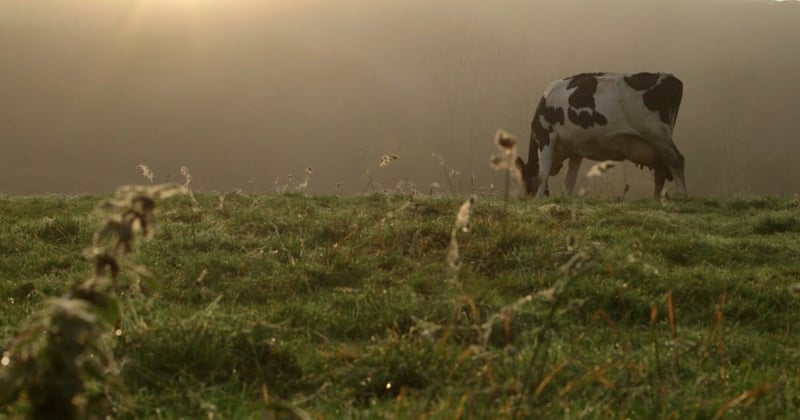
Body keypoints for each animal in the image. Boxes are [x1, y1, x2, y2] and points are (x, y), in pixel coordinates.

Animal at [516, 72, 684, 199]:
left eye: (525, 179)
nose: (526, 197)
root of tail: (670, 78)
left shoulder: (545, 136)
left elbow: (543, 174)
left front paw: (538, 199)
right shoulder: (575, 151)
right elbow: (569, 181)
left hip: (658, 134)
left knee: (676, 160)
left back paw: (683, 196)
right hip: (656, 143)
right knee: (661, 170)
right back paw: (656, 199)